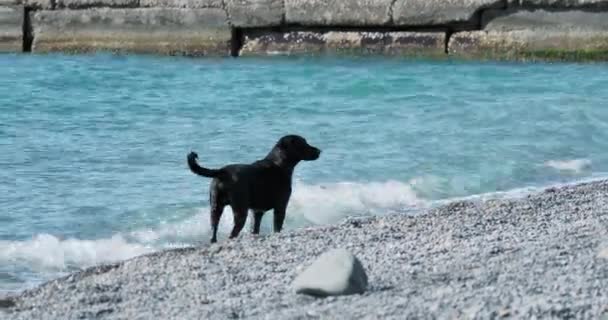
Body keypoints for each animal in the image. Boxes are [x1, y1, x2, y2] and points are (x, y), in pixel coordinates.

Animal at [188, 134, 320, 242]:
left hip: (215, 208)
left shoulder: (257, 212)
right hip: (240, 210)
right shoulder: (280, 207)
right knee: (232, 233)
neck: (279, 163)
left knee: (214, 231)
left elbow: (255, 229)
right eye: (303, 143)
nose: (319, 151)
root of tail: (222, 171)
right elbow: (277, 227)